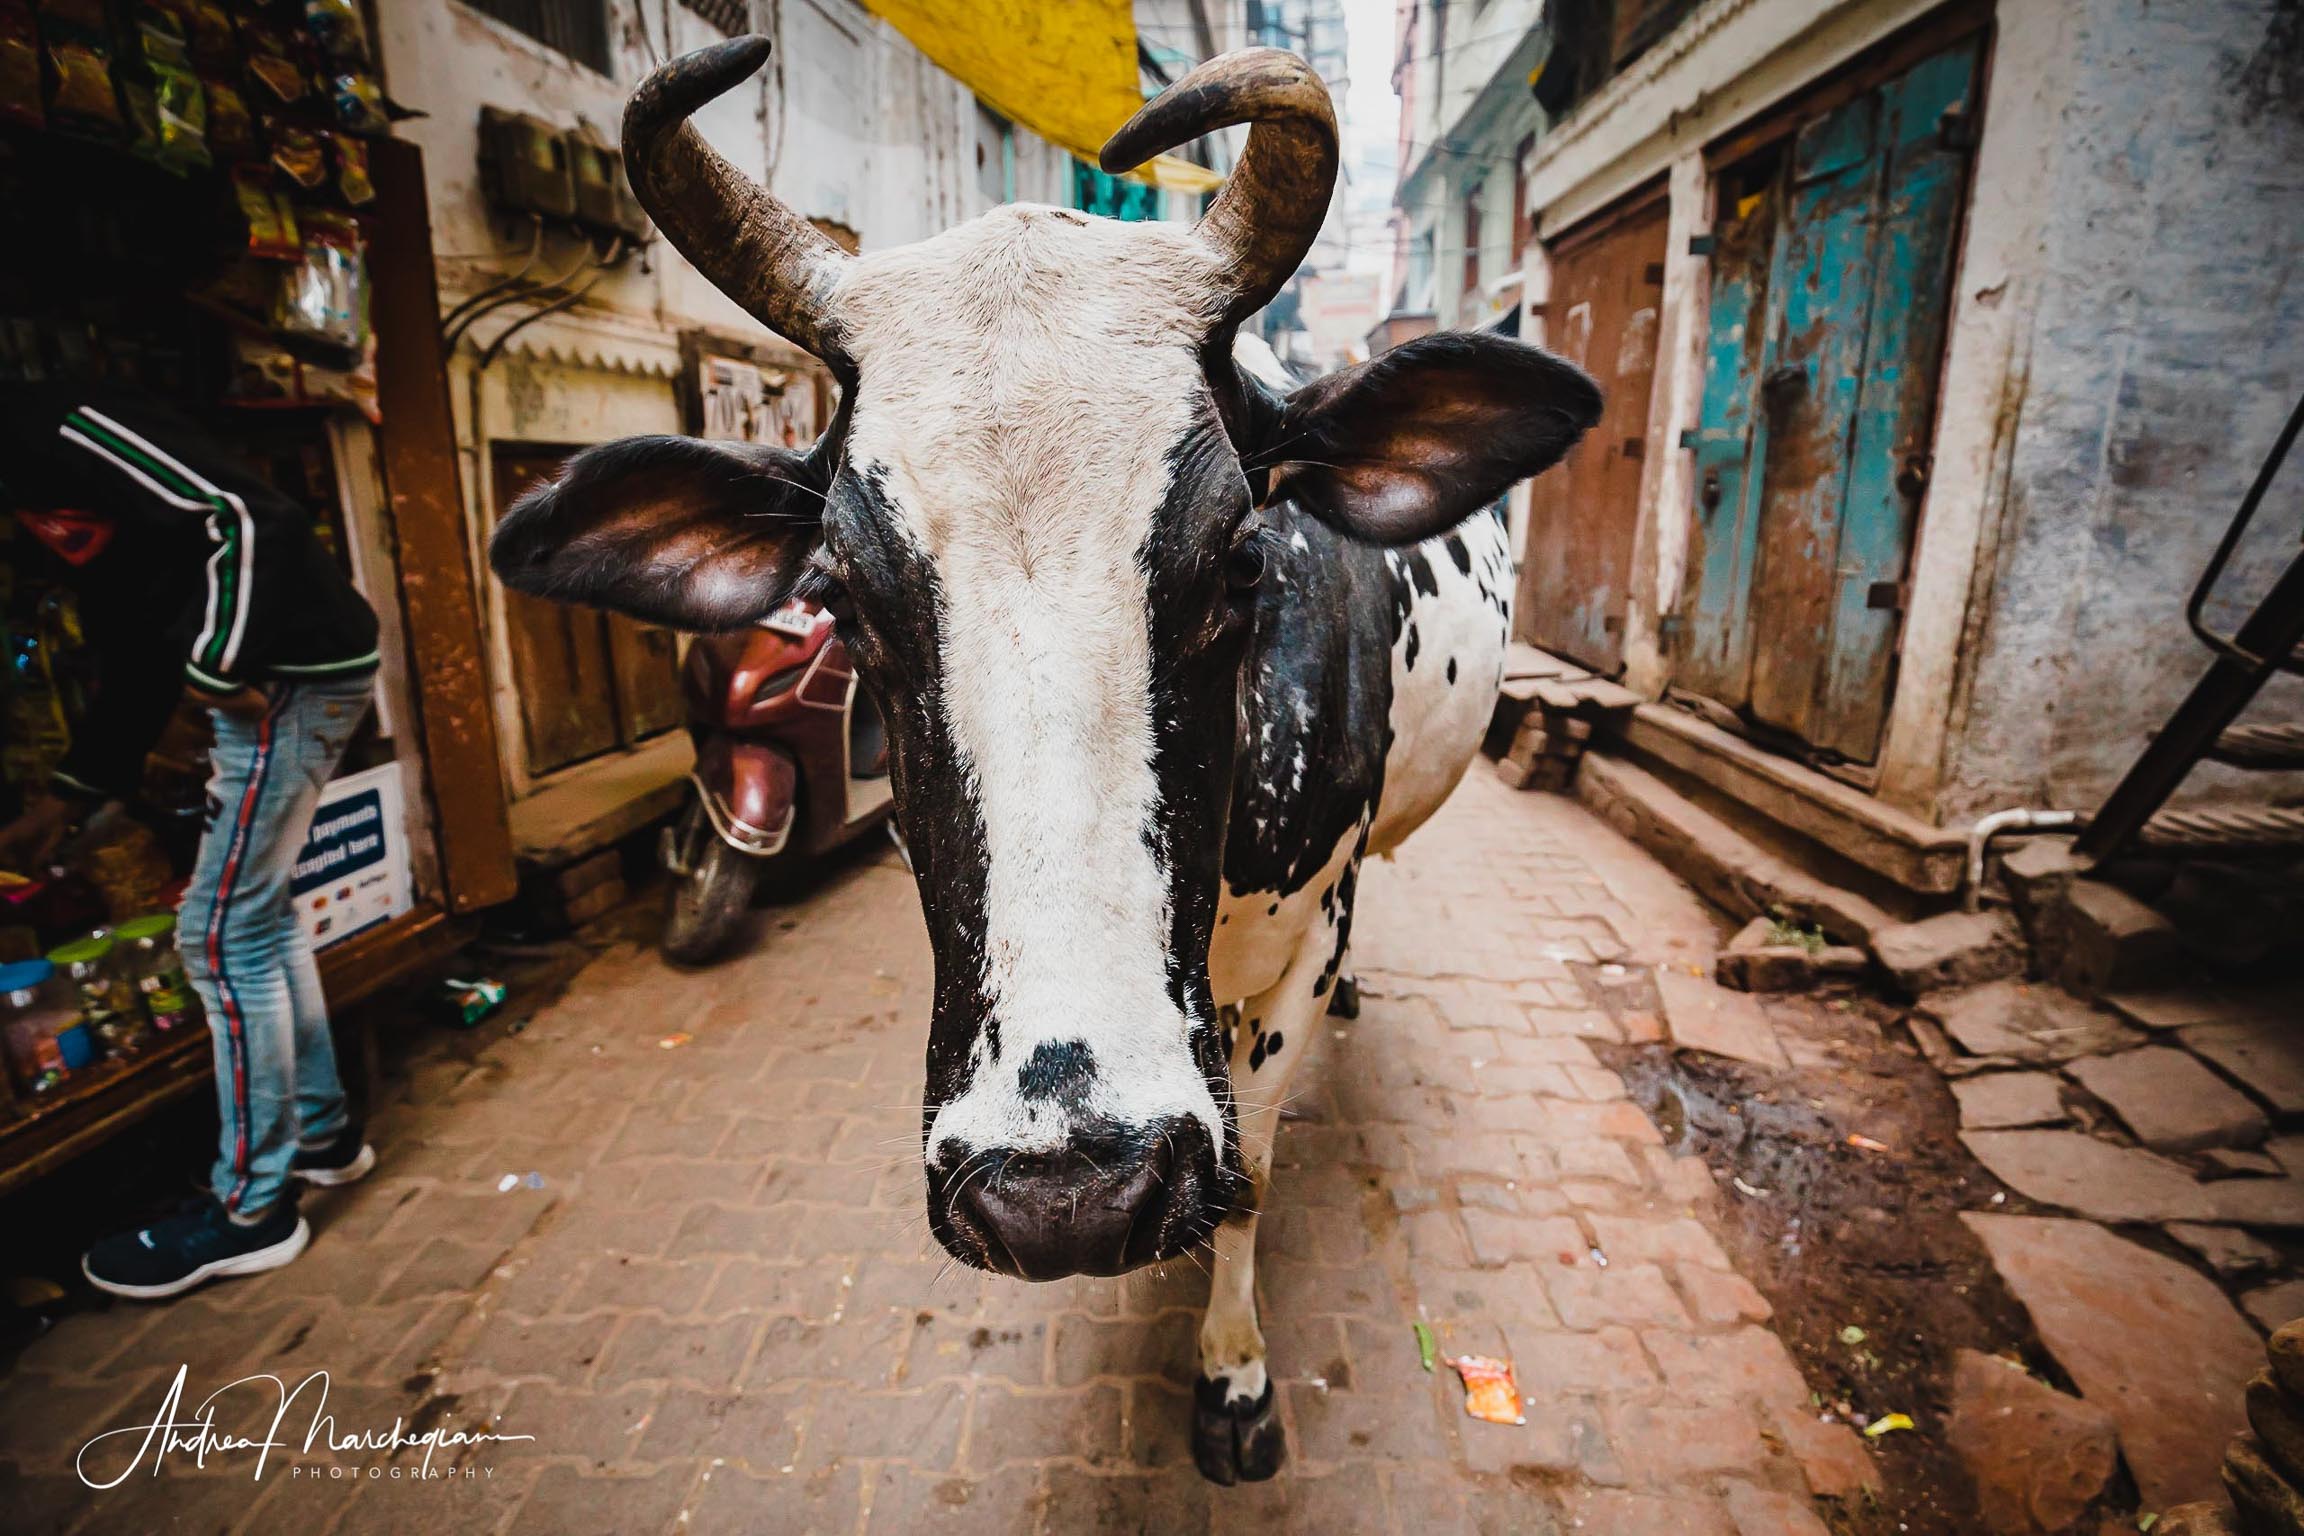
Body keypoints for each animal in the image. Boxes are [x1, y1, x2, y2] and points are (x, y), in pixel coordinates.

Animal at [490, 33, 1603, 1473]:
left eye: (1243, 560)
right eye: (838, 596)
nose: (1065, 1195)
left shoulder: (1302, 940)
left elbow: (1248, 1174)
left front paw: (1234, 1378)